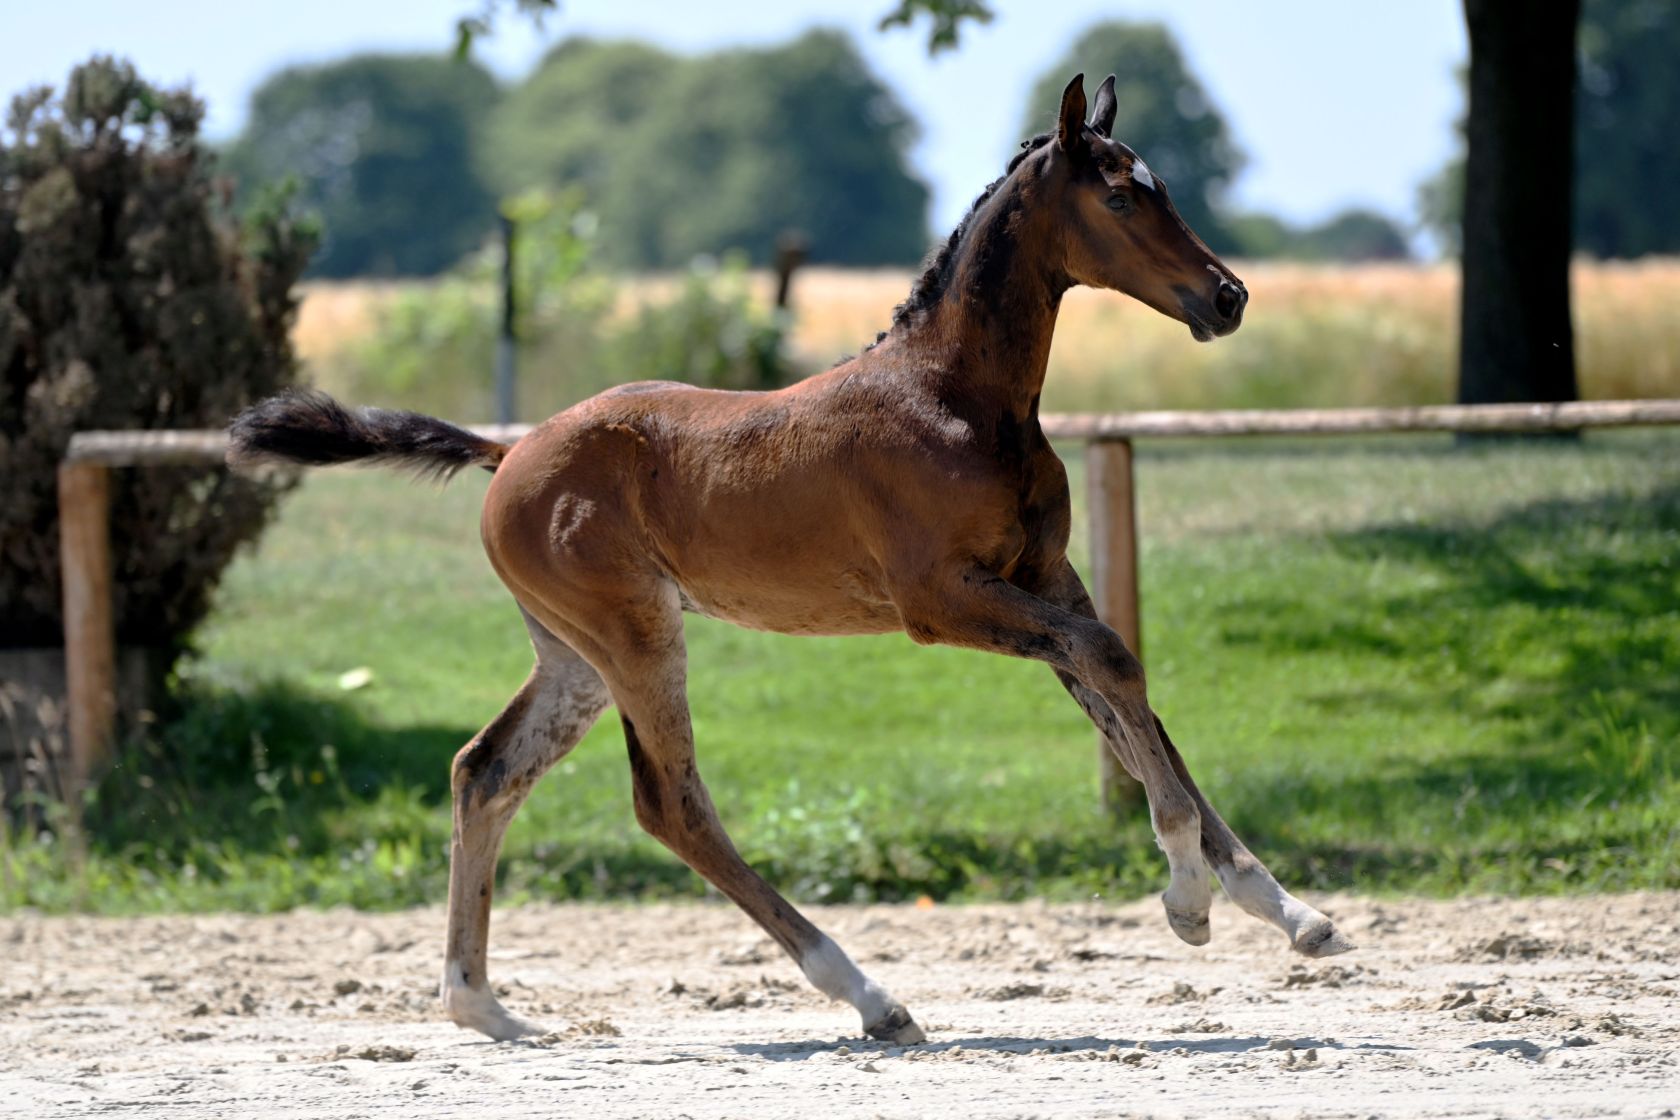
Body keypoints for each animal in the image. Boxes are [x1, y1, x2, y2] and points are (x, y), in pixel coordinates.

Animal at [233, 74, 1350, 1047]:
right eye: (1121, 192)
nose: (1229, 296)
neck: (956, 398)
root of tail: (508, 456)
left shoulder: (1043, 580)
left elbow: (1123, 695)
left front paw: (1288, 911)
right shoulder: (942, 601)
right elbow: (1114, 663)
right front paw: (1188, 898)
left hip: (574, 654)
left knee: (485, 771)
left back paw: (484, 1008)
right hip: (635, 632)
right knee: (671, 803)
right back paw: (872, 999)